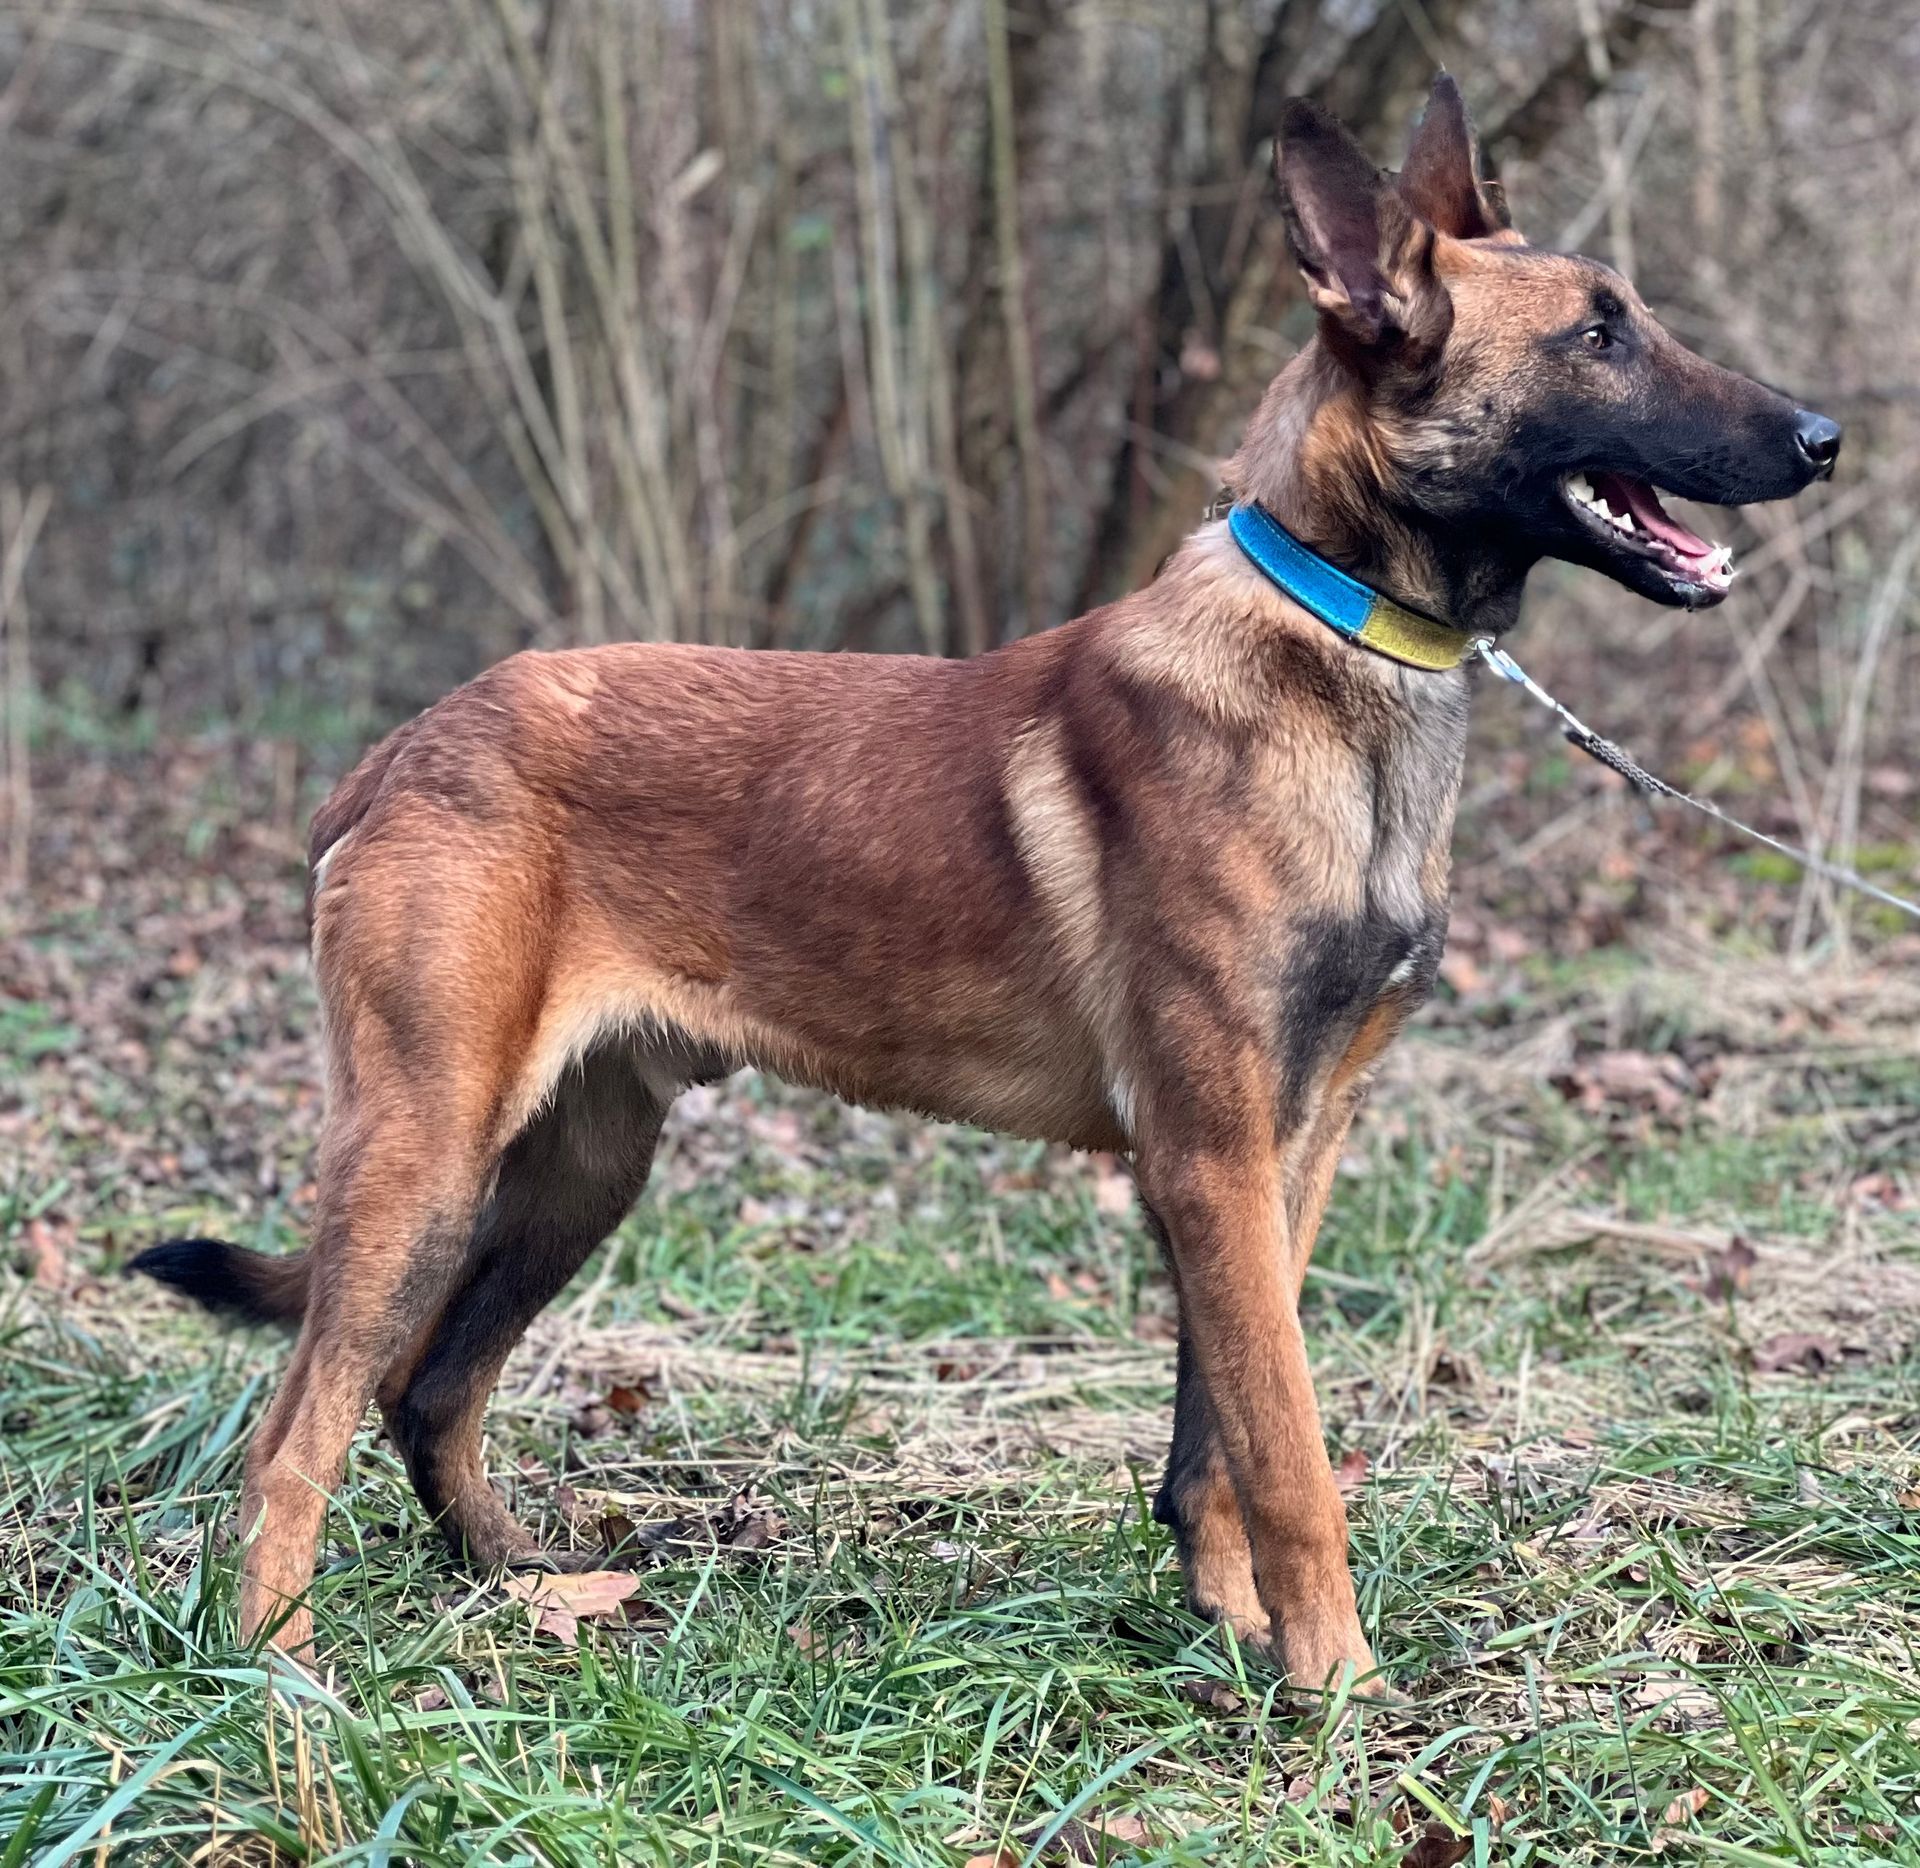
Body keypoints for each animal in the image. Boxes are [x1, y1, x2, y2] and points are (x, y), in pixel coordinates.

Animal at [133, 74, 1839, 1686]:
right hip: (426, 1155)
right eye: (1600, 334)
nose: (1825, 438)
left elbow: (1219, 1436)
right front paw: (1337, 1689)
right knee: (297, 1430)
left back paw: (525, 1591)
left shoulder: (1289, 1152)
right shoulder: (1213, 1154)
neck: (1333, 632)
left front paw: (1233, 1639)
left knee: (429, 1389)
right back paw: (280, 1671)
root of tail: (399, 749)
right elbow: (1290, 1451)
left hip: (579, 1171)